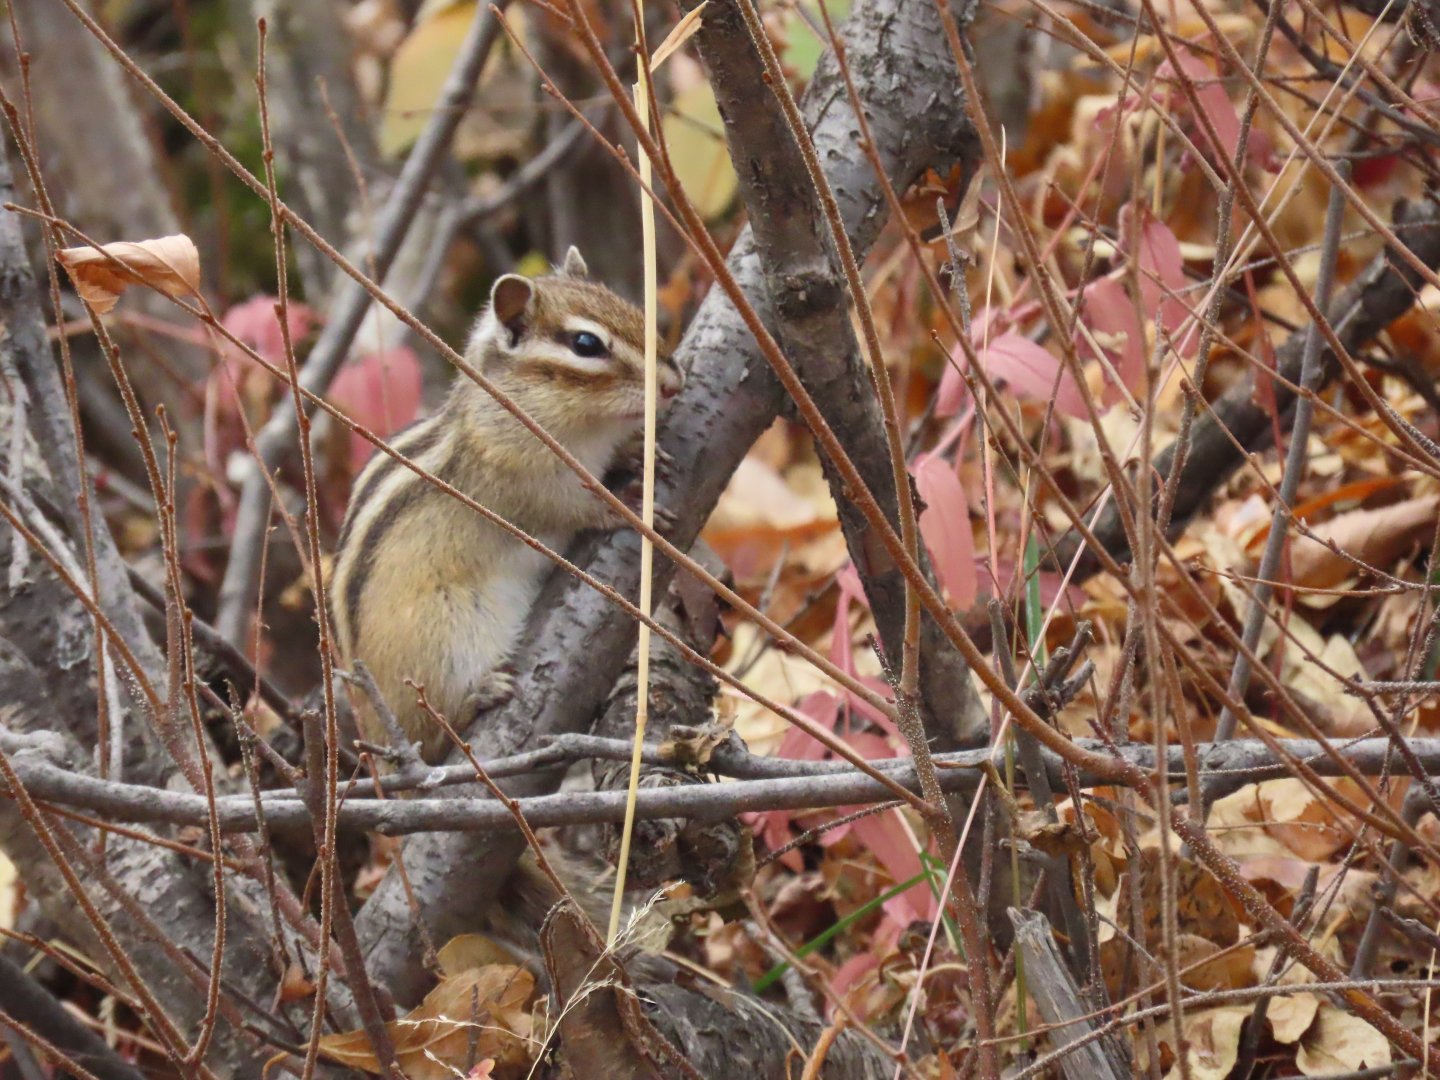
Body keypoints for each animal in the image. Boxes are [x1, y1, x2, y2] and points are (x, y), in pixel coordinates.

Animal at [331, 246, 683, 764]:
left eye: (632, 307)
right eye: (586, 344)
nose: (674, 384)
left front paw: (641, 451)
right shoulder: (523, 482)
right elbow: (569, 508)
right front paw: (628, 505)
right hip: (444, 642)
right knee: (431, 735)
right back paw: (479, 695)